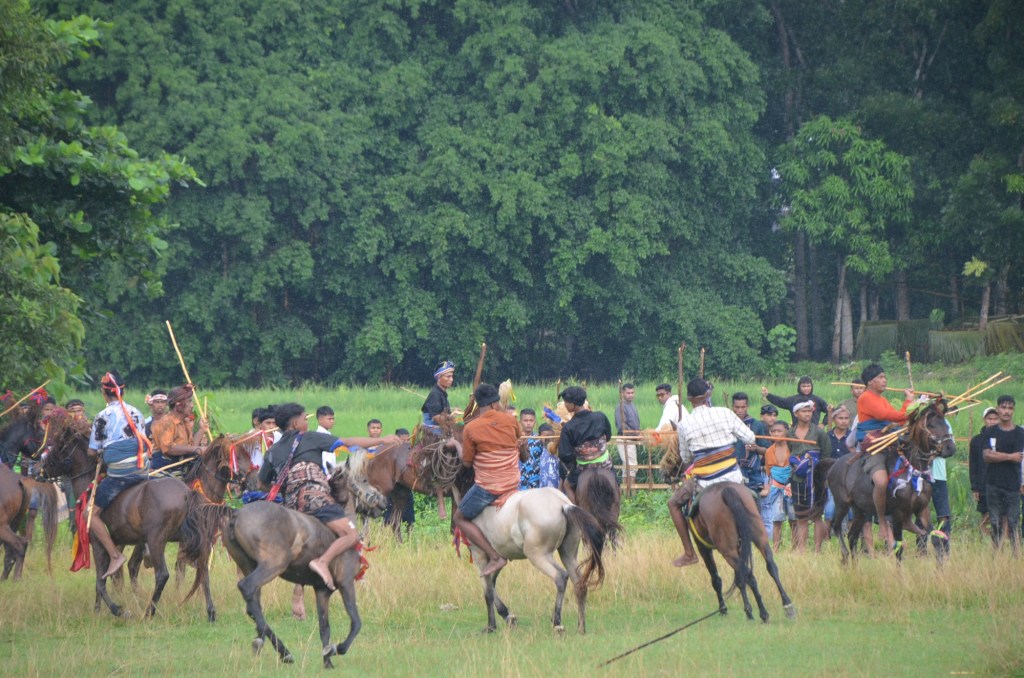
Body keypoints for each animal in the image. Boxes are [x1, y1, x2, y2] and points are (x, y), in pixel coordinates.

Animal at [41, 422, 229, 620]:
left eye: (59, 445)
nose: (42, 467)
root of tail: (187, 493)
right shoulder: (117, 542)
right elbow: (110, 578)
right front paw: (98, 610)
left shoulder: (99, 543)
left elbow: (102, 580)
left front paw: (117, 609)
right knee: (202, 570)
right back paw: (210, 611)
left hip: (156, 541)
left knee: (162, 574)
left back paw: (148, 612)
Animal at [223, 466, 386, 669]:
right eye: (364, 479)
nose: (384, 502)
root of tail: (237, 514)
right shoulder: (345, 582)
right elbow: (356, 622)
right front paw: (337, 649)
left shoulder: (322, 590)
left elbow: (324, 627)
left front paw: (327, 662)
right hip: (273, 565)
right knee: (247, 588)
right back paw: (275, 647)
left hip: (248, 565)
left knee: (252, 605)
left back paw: (277, 648)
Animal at [463, 487, 606, 634]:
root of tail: (563, 504)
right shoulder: (498, 561)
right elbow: (491, 585)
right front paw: (508, 617)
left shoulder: (480, 556)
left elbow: (488, 592)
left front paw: (491, 625)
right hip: (568, 555)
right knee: (579, 584)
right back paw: (581, 628)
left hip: (538, 555)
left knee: (560, 576)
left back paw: (557, 623)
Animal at [687, 481, 796, 623]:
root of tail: (727, 490)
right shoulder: (739, 548)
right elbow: (739, 579)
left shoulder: (703, 548)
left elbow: (716, 579)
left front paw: (724, 609)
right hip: (759, 538)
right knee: (771, 566)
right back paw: (787, 605)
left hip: (727, 551)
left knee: (749, 575)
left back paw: (762, 613)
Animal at [825, 400, 957, 564]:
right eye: (931, 425)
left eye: (945, 423)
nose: (950, 448)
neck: (912, 470)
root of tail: (834, 465)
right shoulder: (897, 514)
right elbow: (898, 547)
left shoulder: (922, 509)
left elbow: (936, 539)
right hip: (842, 503)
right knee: (836, 527)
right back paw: (844, 555)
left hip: (860, 510)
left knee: (852, 536)